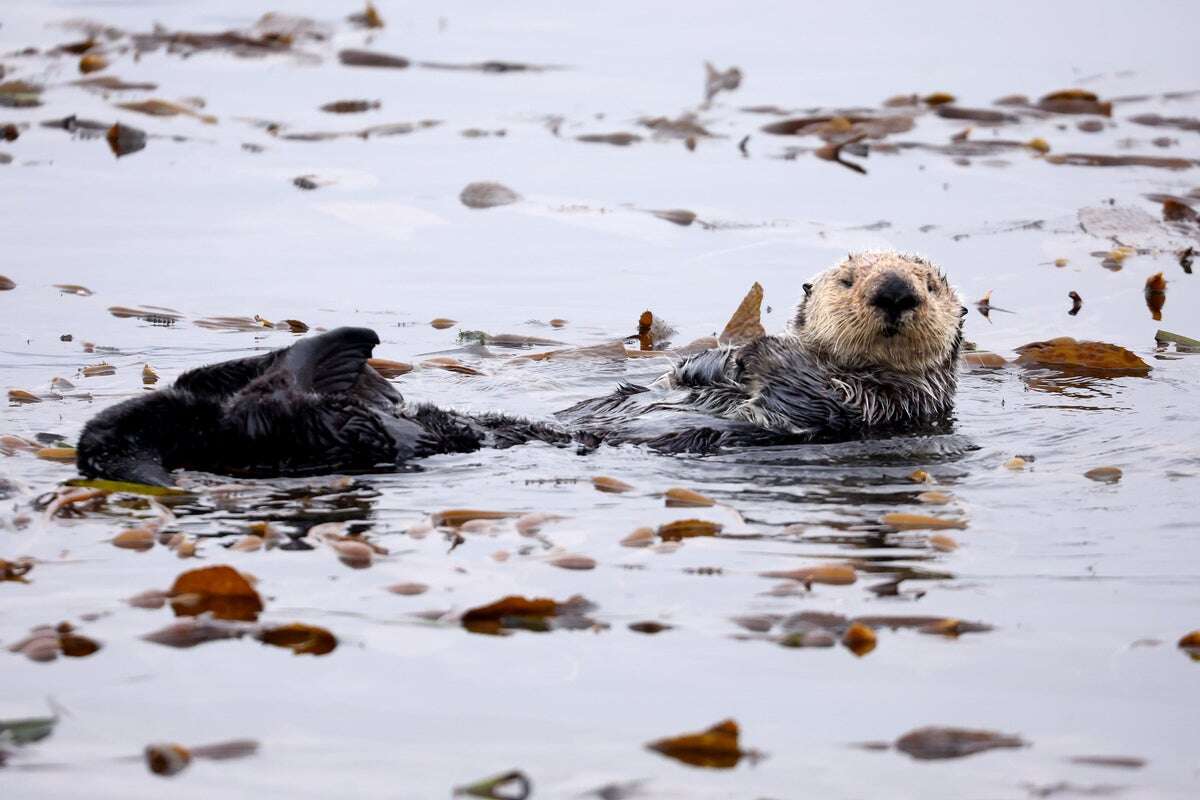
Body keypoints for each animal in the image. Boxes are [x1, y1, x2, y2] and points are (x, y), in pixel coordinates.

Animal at [75, 250, 964, 489]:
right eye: (848, 279)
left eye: (931, 282)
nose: (893, 290)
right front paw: (707, 358)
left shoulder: (882, 406)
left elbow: (800, 391)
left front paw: (749, 351)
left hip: (336, 430)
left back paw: (336, 348)